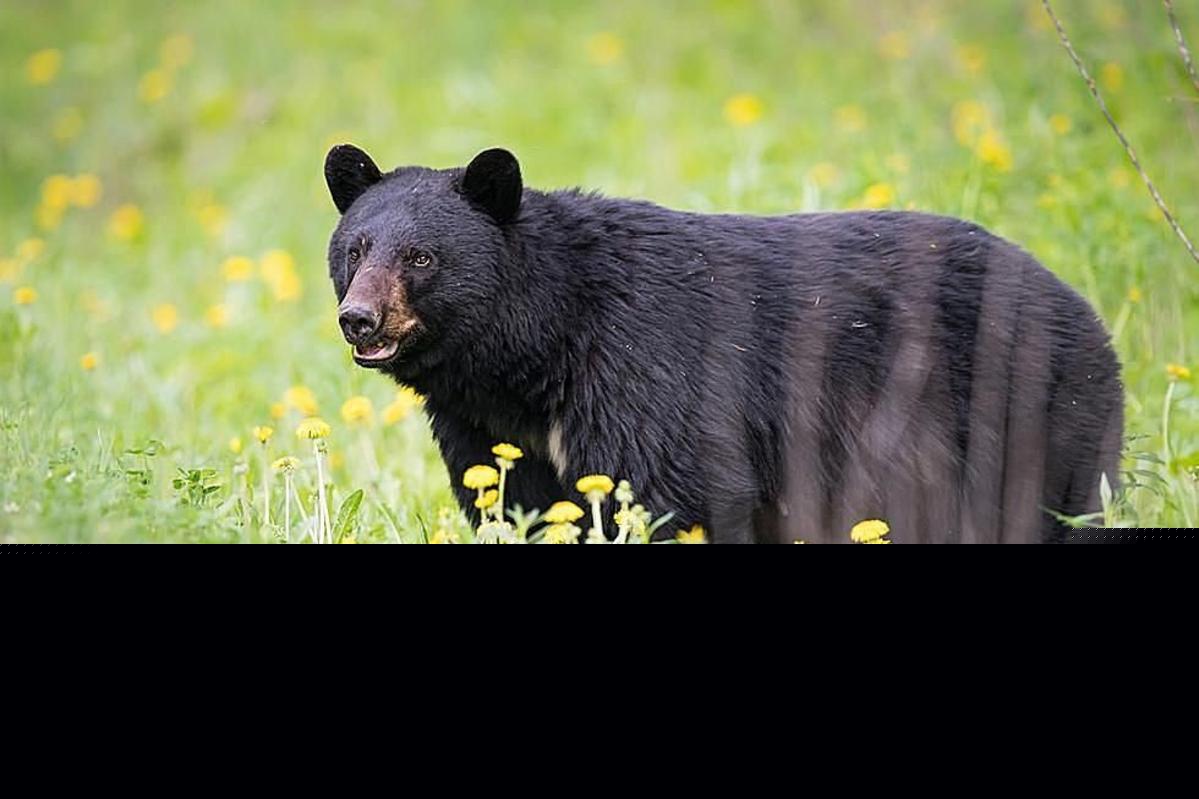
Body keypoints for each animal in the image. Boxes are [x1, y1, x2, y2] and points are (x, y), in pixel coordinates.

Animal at [323, 145, 1123, 543]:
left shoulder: (645, 369)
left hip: (1030, 411)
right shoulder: (488, 426)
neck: (537, 350)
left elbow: (674, 491)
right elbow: (516, 500)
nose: (359, 318)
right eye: (355, 250)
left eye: (421, 257)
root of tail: (1080, 303)